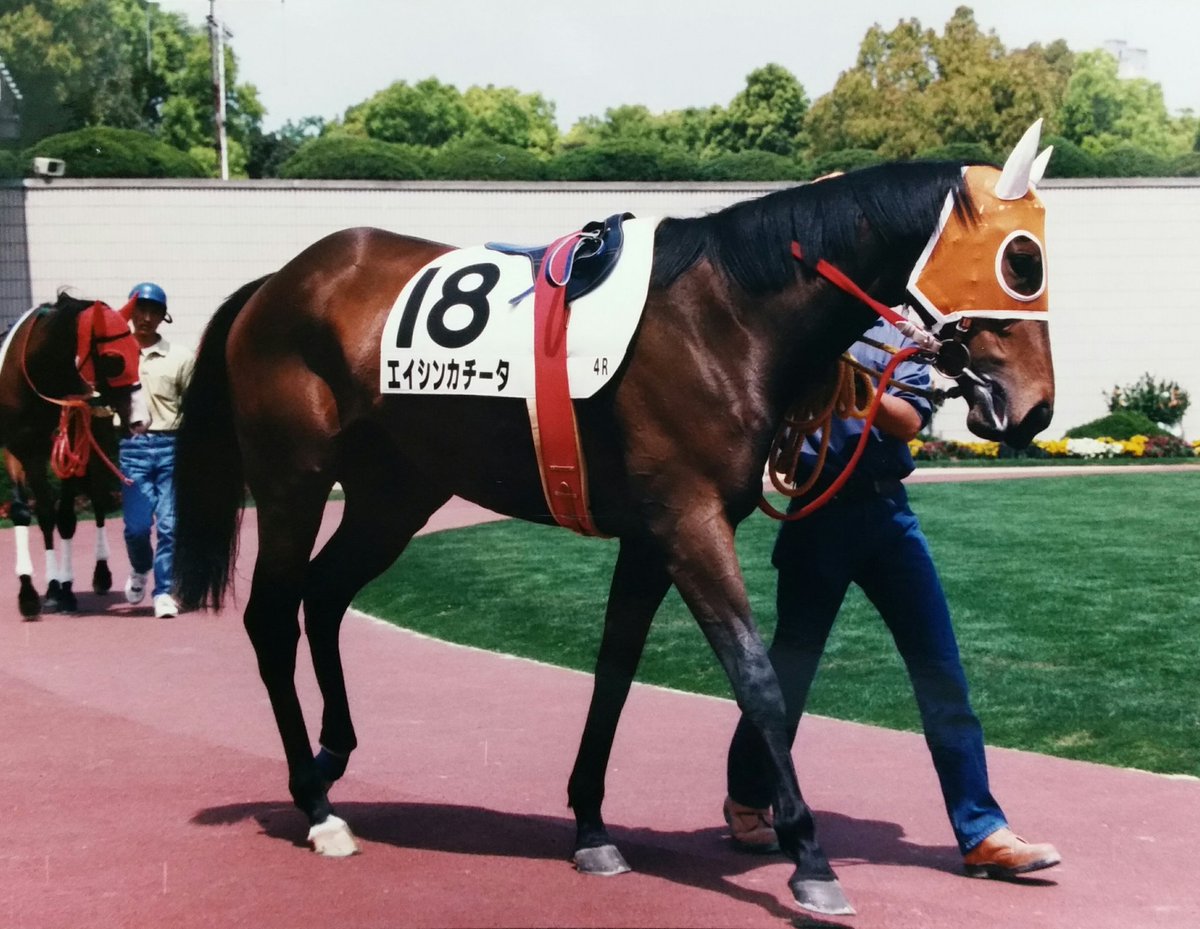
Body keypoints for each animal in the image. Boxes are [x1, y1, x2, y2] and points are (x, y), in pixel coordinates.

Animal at [0, 292, 141, 618]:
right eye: (114, 360)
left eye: (139, 352)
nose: (140, 417)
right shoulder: (20, 449)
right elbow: (32, 512)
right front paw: (31, 593)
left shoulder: (72, 446)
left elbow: (64, 517)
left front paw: (62, 591)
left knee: (99, 500)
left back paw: (100, 575)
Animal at [172, 122, 1056, 916]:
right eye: (1022, 260)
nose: (1035, 409)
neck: (725, 318)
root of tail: (278, 283)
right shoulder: (691, 523)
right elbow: (758, 678)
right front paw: (810, 858)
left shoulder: (650, 534)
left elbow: (615, 672)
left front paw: (592, 828)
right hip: (293, 480)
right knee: (271, 615)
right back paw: (317, 807)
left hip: (395, 493)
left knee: (322, 597)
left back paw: (331, 759)